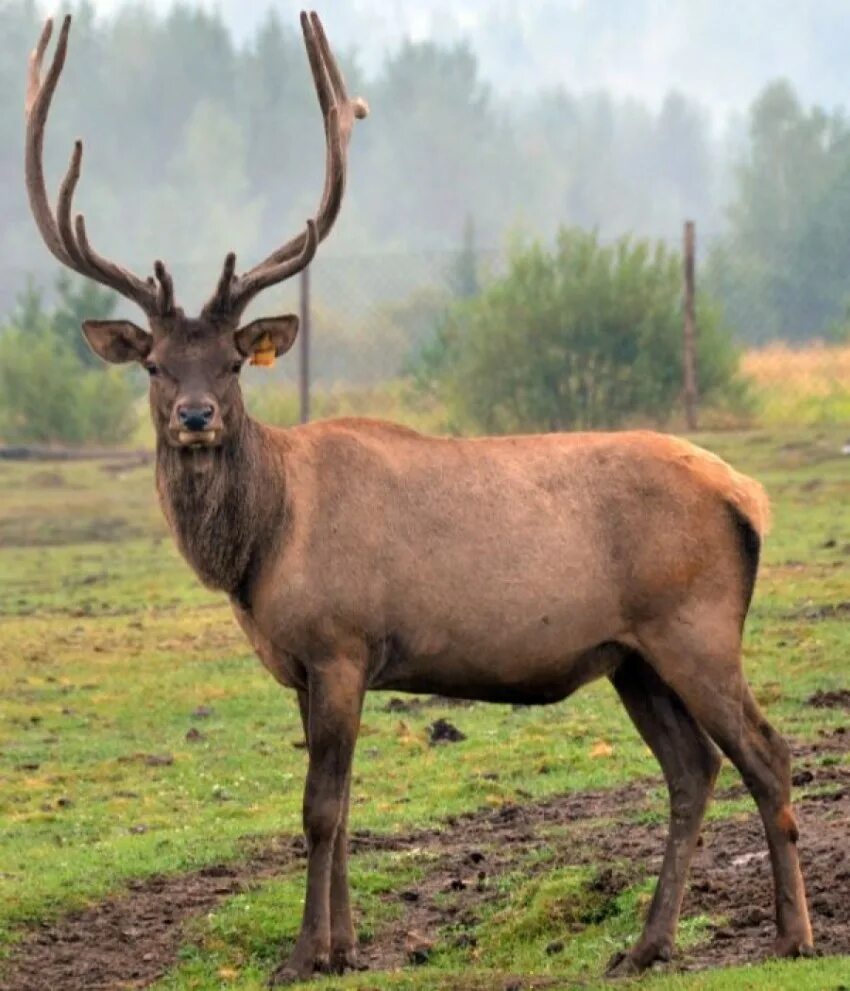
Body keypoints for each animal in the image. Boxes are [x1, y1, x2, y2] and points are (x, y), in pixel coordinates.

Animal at [23, 11, 812, 988]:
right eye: (157, 365)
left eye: (235, 362)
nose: (195, 417)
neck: (262, 544)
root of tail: (750, 498)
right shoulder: (311, 664)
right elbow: (343, 803)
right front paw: (346, 947)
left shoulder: (341, 640)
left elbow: (320, 807)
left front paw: (302, 954)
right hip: (635, 655)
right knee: (694, 769)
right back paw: (646, 943)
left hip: (694, 625)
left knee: (767, 752)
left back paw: (791, 933)